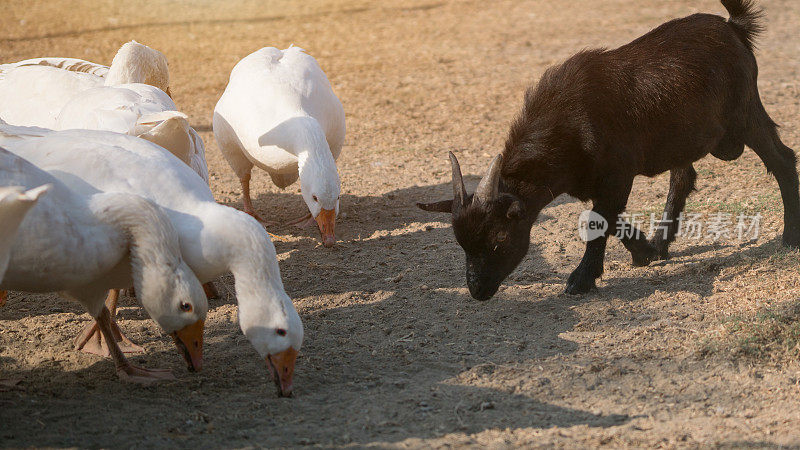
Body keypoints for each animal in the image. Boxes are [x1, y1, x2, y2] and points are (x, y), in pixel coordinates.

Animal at [416, 0, 796, 302]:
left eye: (497, 240)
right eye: (462, 244)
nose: (478, 291)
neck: (568, 122)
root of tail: (734, 28)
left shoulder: (617, 173)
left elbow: (598, 220)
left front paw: (581, 280)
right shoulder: (594, 182)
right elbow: (606, 218)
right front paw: (644, 251)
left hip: (745, 114)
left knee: (783, 160)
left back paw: (790, 238)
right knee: (683, 178)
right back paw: (661, 243)